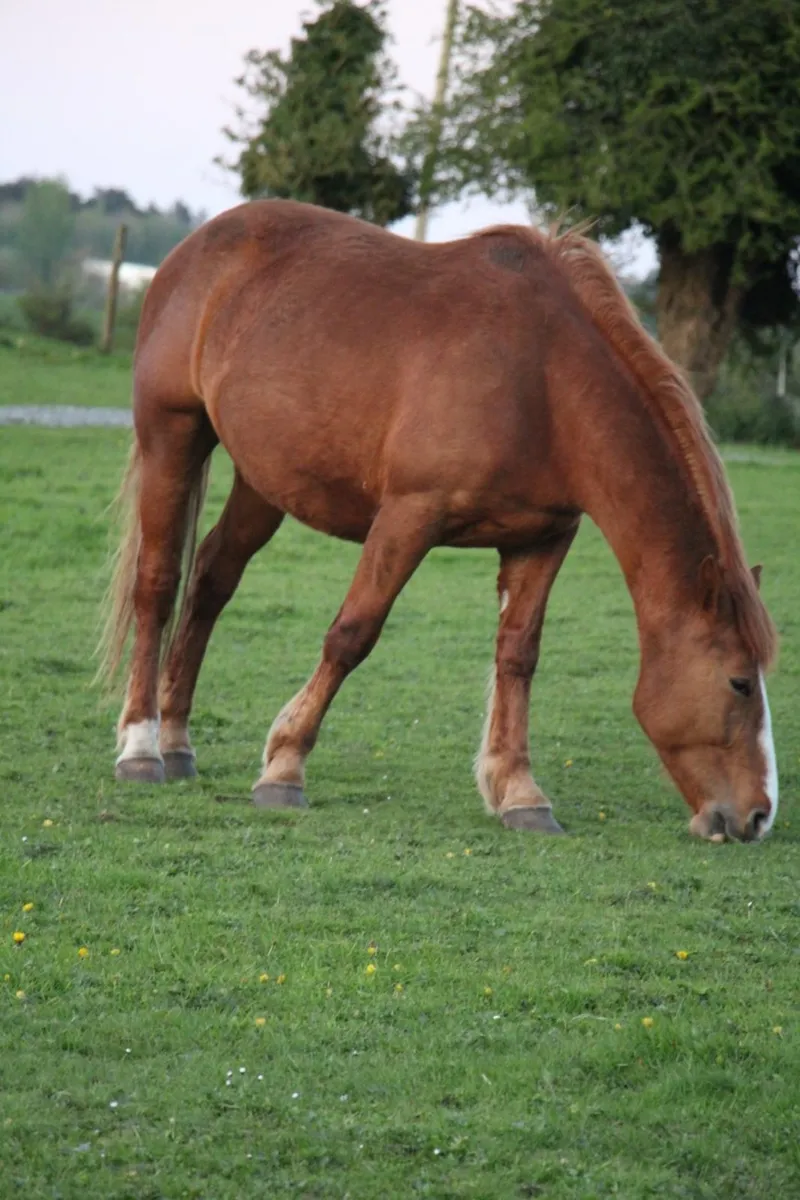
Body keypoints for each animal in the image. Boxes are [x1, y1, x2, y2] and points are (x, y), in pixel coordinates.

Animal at [97, 199, 777, 844]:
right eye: (740, 683)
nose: (759, 816)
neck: (544, 379)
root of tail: (195, 249)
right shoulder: (410, 515)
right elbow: (353, 633)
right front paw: (284, 767)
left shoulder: (544, 538)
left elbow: (518, 656)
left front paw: (519, 792)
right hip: (173, 435)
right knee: (157, 583)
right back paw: (141, 747)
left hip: (263, 481)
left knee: (211, 577)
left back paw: (177, 740)